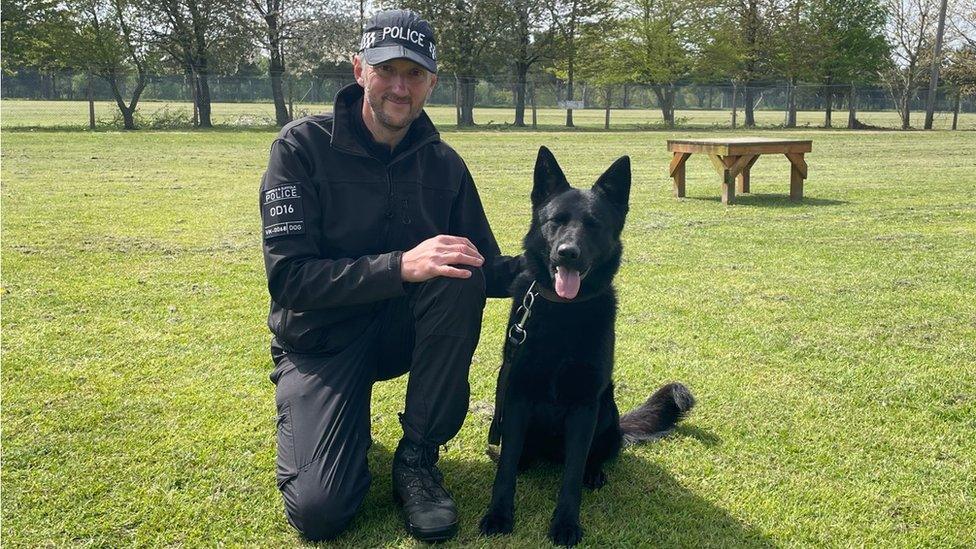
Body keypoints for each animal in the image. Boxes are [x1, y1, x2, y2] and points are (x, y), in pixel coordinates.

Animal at [478, 144, 692, 544]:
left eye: (593, 224)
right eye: (556, 221)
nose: (567, 252)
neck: (564, 312)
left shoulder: (583, 406)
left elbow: (572, 475)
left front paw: (565, 524)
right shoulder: (517, 397)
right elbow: (506, 470)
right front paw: (498, 515)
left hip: (605, 409)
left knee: (595, 456)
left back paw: (595, 472)